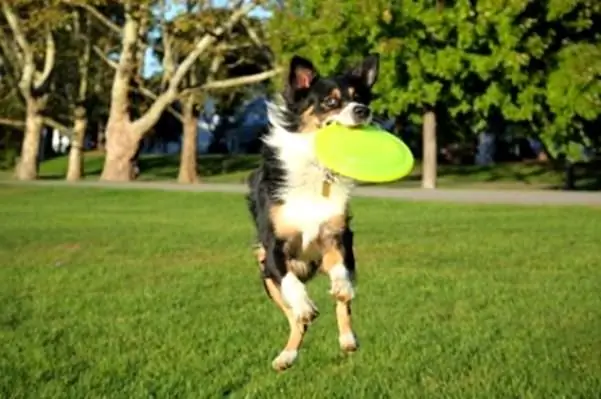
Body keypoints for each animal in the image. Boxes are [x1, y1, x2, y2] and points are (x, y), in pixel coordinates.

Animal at [245, 53, 380, 372]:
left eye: (359, 97)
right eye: (330, 101)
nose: (363, 110)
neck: (317, 167)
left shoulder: (338, 236)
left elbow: (342, 278)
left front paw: (341, 287)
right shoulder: (273, 246)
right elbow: (292, 285)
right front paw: (305, 304)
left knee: (343, 305)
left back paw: (347, 339)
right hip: (264, 272)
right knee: (296, 319)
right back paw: (287, 355)